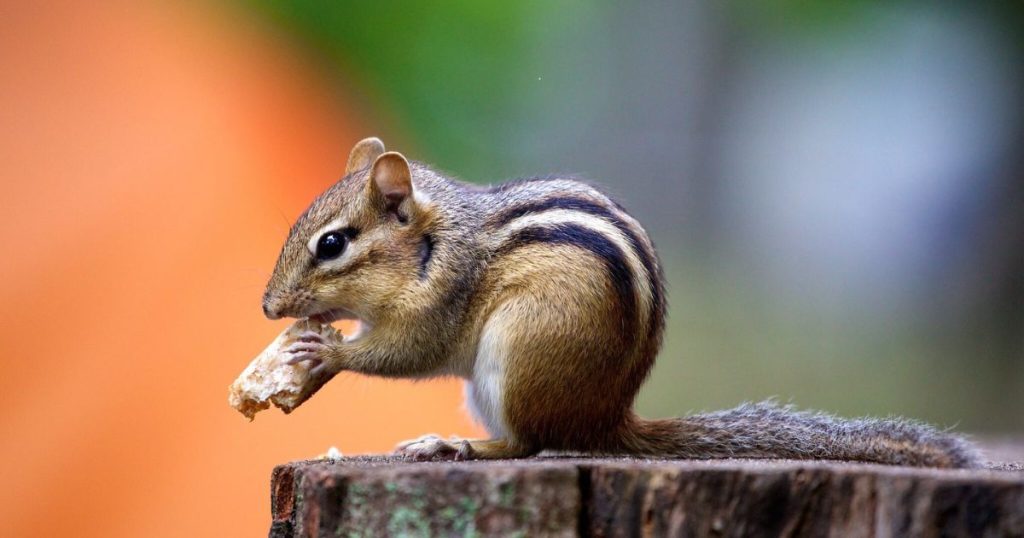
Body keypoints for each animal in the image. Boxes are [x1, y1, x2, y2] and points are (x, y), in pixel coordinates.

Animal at [262, 137, 982, 469]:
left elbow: (406, 353)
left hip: (517, 355)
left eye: (332, 244)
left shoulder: (442, 300)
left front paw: (327, 351)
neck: (434, 245)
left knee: (529, 445)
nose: (269, 308)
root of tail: (607, 420)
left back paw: (454, 446)